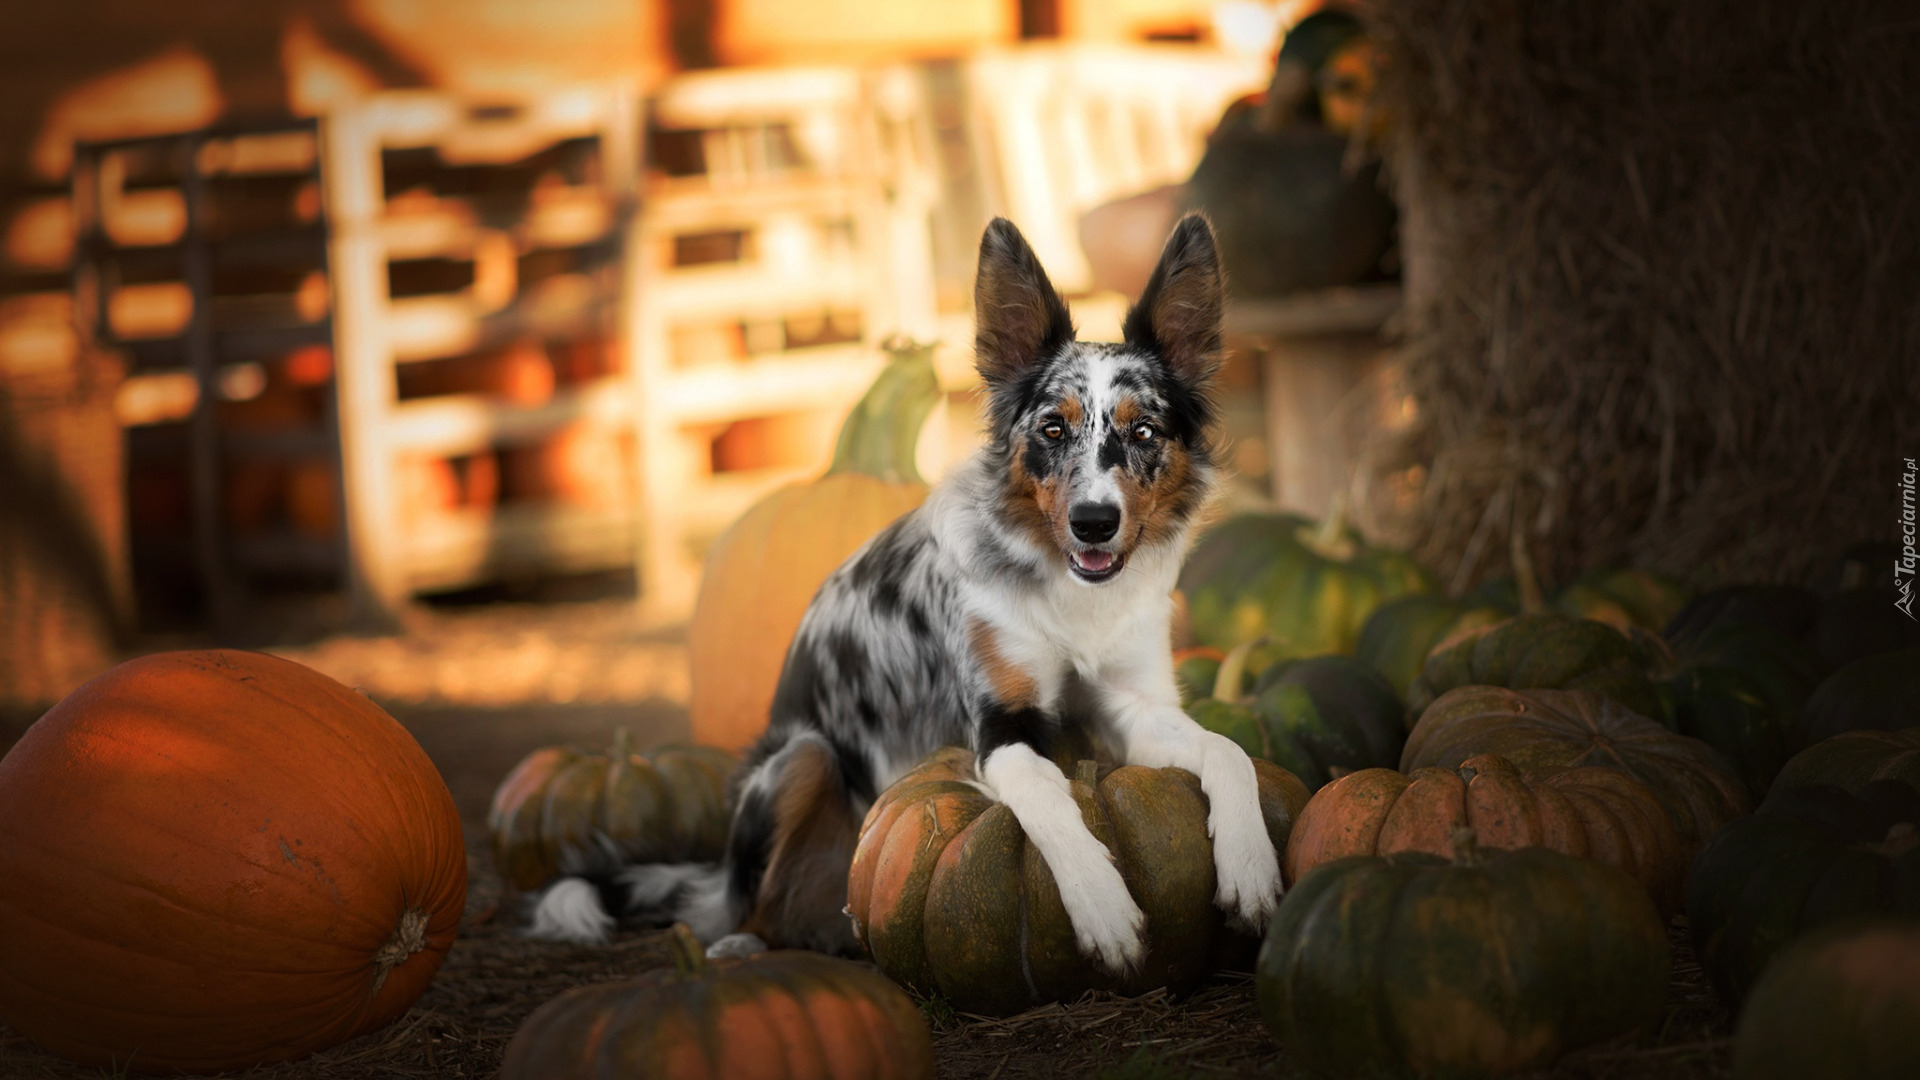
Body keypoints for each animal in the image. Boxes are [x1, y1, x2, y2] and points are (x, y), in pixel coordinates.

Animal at [526, 212, 1282, 968]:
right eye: (1053, 428)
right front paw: (1103, 909)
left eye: (1144, 430)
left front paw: (1250, 868)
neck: (1070, 598)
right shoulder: (1001, 727)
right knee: (750, 905)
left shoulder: (1135, 708)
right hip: (800, 759)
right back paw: (740, 947)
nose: (1094, 522)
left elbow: (1230, 751)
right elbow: (1050, 803)